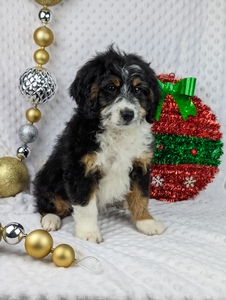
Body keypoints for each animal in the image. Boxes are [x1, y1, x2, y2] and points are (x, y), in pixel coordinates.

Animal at [33, 47, 164, 244]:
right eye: (111, 88)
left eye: (138, 90)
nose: (128, 114)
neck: (117, 133)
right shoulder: (80, 169)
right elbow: (86, 206)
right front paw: (88, 233)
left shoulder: (140, 165)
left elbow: (141, 196)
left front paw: (146, 221)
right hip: (49, 179)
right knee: (47, 202)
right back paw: (50, 218)